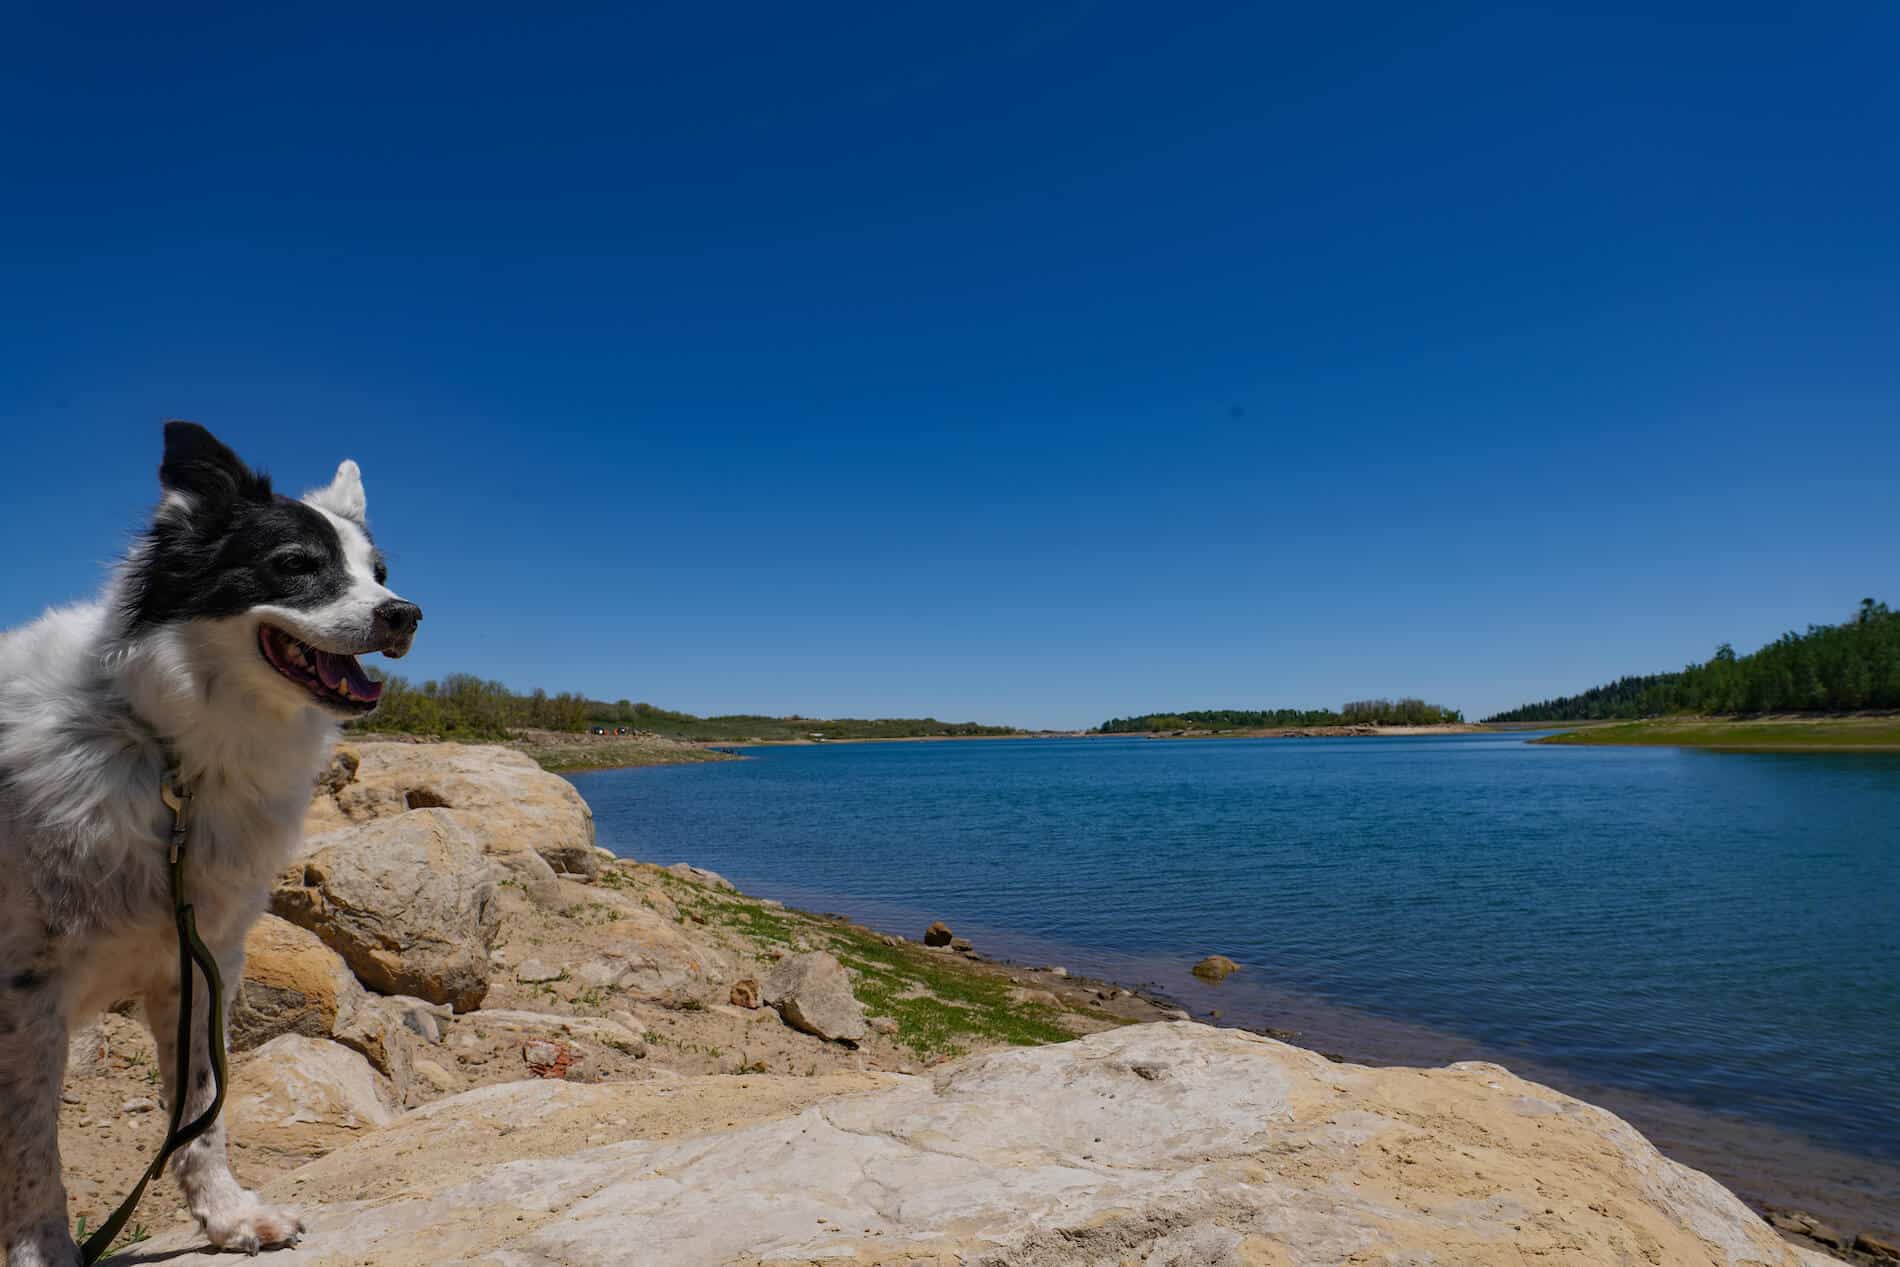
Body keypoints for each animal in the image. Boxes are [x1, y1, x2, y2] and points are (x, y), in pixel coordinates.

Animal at [0, 429, 419, 1267]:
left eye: (380, 573)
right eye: (298, 562)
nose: (405, 614)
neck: (170, 753)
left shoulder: (200, 959)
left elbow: (201, 1107)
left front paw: (228, 1215)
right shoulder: (28, 987)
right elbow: (32, 1142)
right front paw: (40, 1250)